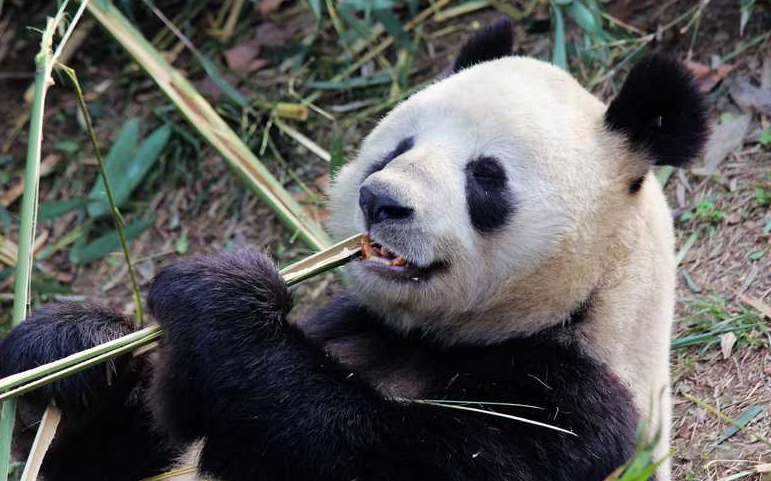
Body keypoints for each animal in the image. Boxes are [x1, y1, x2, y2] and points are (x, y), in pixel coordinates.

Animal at [0, 18, 704, 480]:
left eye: (485, 177)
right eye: (398, 149)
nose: (381, 201)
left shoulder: (578, 406)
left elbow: (378, 453)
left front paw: (220, 299)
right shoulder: (349, 321)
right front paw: (74, 347)